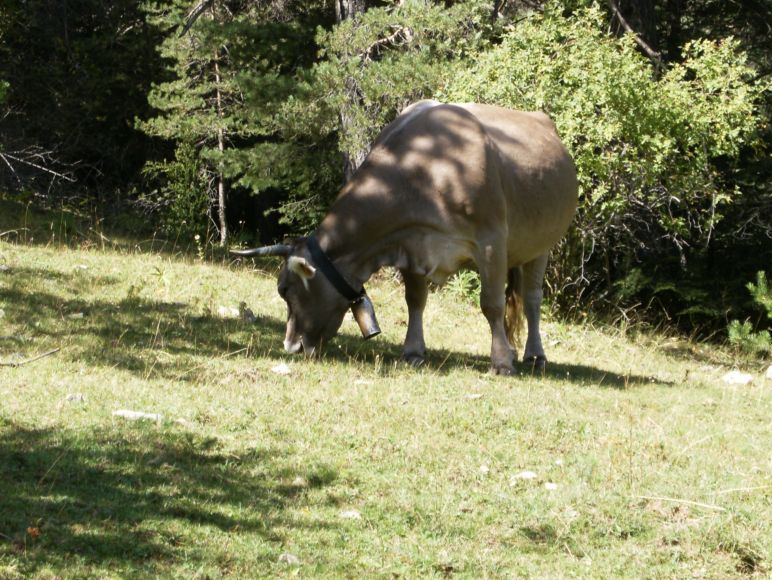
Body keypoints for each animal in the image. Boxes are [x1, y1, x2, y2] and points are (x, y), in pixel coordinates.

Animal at [232, 101, 577, 375]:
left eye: (285, 289)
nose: (290, 347)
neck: (427, 171)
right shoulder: (411, 244)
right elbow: (415, 300)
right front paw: (413, 352)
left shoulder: (490, 240)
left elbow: (490, 304)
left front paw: (502, 362)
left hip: (542, 245)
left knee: (532, 299)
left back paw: (534, 355)